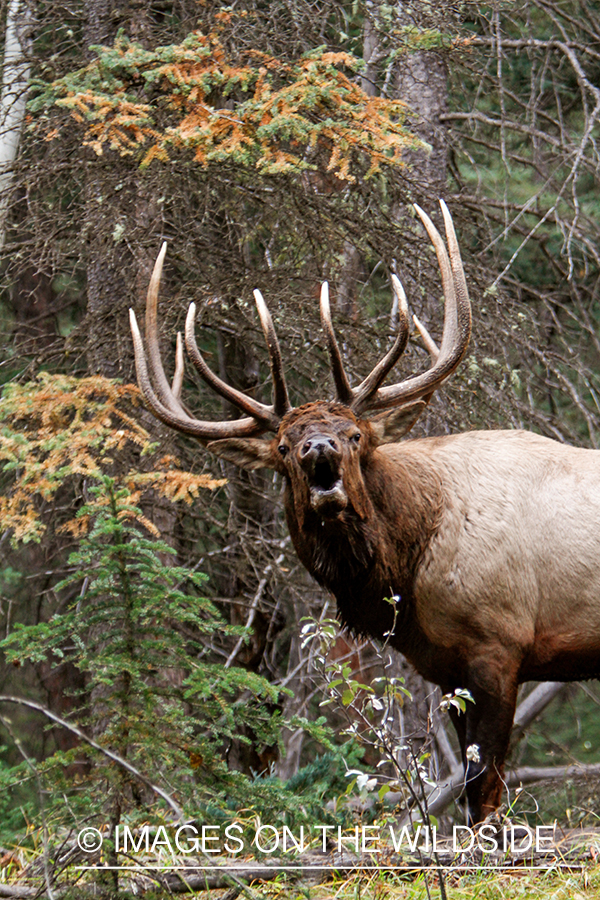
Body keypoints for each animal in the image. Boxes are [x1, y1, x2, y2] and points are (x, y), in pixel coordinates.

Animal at [129, 202, 596, 824]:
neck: (410, 566)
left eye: (355, 434)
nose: (318, 449)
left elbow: (485, 792)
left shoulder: (501, 643)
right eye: (283, 447)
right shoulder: (447, 669)